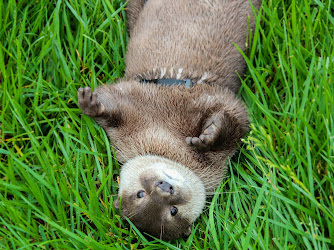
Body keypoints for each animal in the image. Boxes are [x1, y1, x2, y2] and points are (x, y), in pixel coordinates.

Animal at [77, 0, 260, 240]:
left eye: (174, 210)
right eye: (141, 194)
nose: (164, 187)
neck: (165, 139)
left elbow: (236, 123)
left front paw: (209, 136)